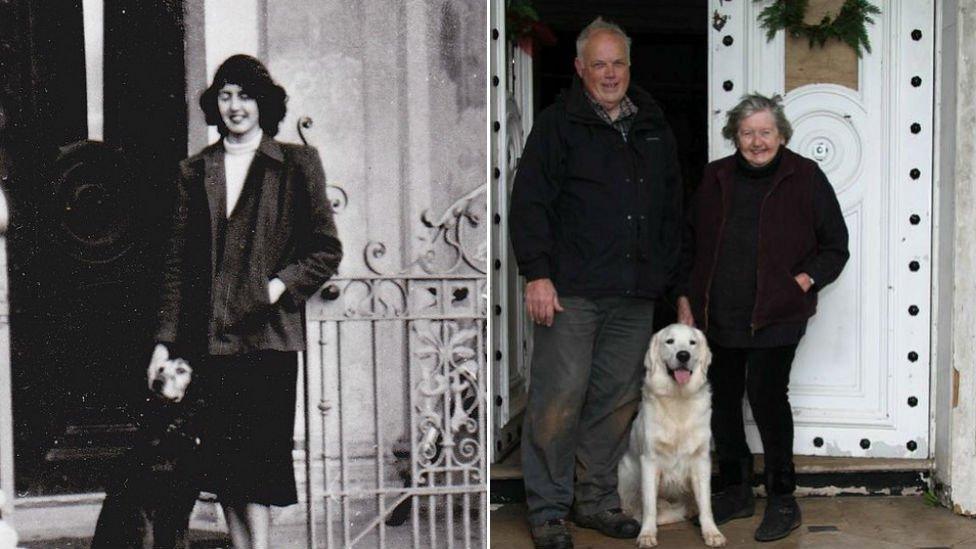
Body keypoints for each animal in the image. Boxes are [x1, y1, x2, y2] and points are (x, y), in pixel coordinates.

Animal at [92, 352, 205, 548]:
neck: (171, 430)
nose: (157, 383)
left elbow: (181, 541)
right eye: (160, 369)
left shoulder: (183, 506)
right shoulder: (144, 506)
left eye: (181, 370)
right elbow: (147, 539)